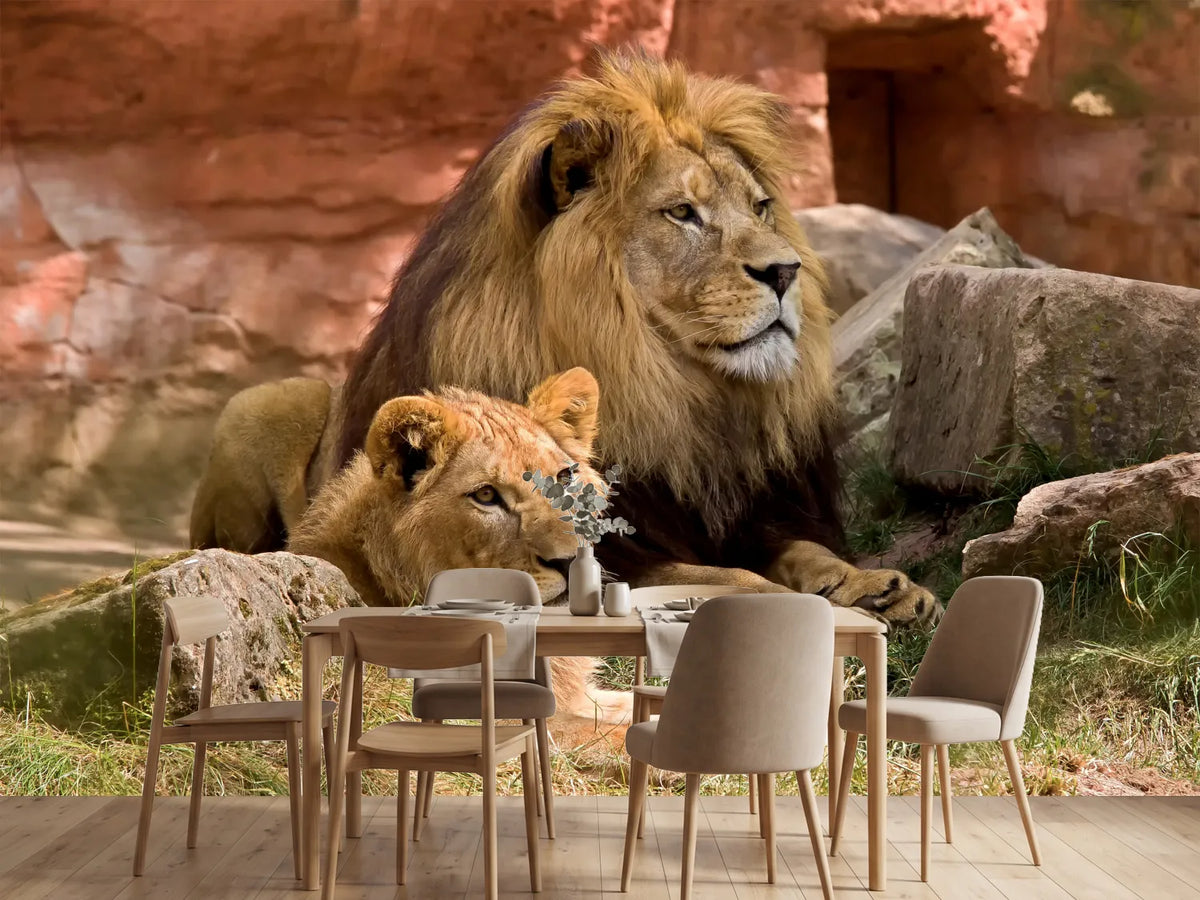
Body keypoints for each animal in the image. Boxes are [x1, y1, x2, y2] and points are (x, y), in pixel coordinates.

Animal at [332, 49, 941, 627]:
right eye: (683, 212)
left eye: (760, 207)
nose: (787, 271)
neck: (669, 398)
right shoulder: (619, 553)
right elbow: (732, 578)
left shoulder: (746, 517)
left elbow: (804, 550)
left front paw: (878, 586)